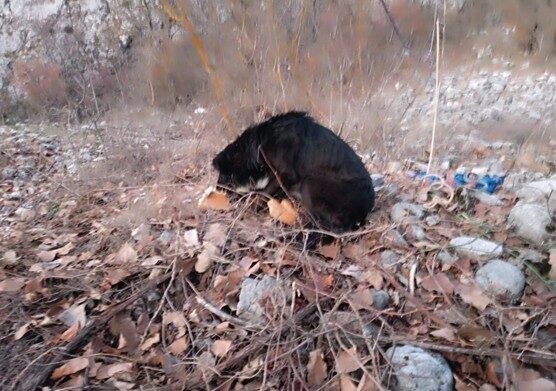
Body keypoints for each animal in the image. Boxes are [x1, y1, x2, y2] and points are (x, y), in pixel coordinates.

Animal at [212, 112, 374, 236]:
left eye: (224, 175)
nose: (217, 190)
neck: (260, 143)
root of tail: (365, 211)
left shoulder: (285, 174)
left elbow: (262, 194)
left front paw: (250, 207)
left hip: (311, 183)